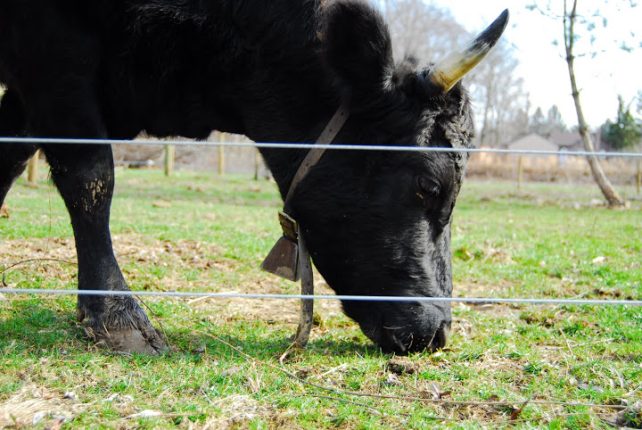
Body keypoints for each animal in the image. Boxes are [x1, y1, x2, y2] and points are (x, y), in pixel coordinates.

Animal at [0, 0, 507, 355]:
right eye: (429, 186)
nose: (438, 330)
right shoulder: (54, 56)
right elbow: (91, 178)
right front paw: (116, 314)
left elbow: (9, 157)